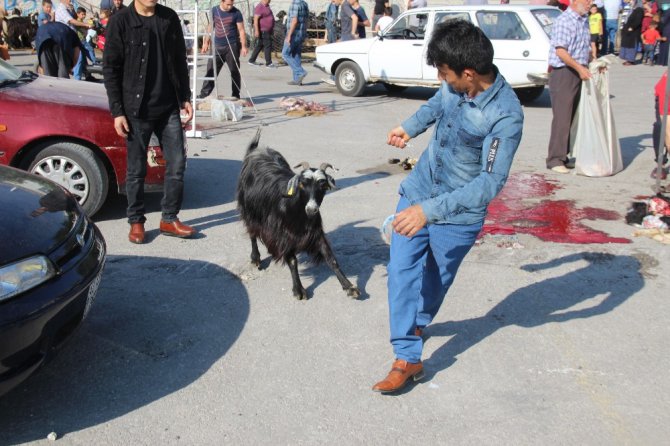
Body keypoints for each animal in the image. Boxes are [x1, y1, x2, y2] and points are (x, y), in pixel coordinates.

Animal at [238, 128, 362, 300]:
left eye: (323, 185)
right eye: (302, 184)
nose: (311, 209)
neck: (297, 212)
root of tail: (255, 150)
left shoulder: (315, 232)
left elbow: (330, 257)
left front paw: (349, 286)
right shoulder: (283, 234)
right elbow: (292, 261)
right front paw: (299, 290)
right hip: (250, 210)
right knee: (252, 233)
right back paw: (255, 258)